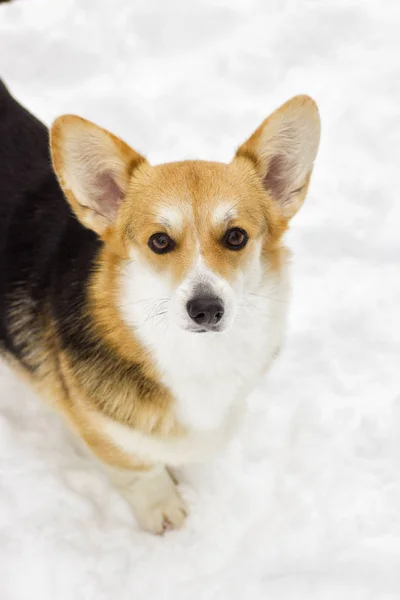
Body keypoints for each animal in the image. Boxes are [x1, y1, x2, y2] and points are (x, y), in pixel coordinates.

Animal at [0, 81, 320, 536]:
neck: (194, 357)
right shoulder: (103, 433)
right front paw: (165, 511)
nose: (206, 309)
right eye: (160, 241)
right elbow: (137, 470)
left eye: (236, 236)